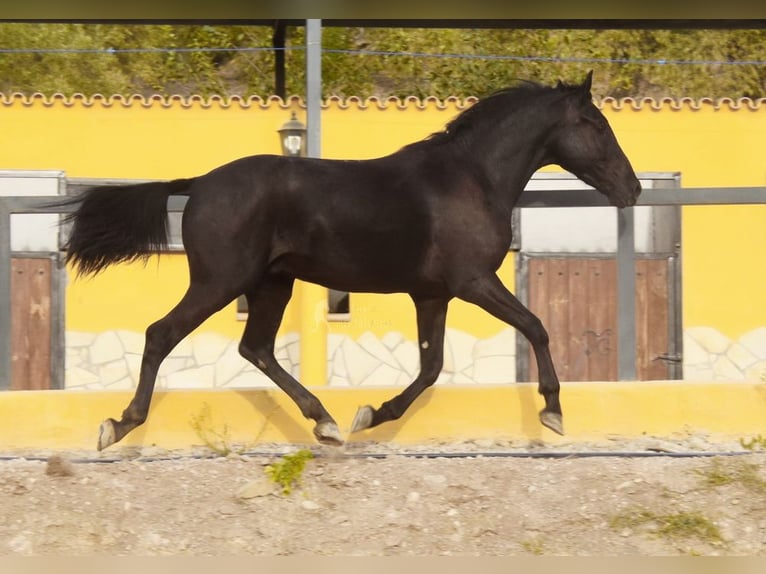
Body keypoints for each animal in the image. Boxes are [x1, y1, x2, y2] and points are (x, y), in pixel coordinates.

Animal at [64, 72, 640, 452]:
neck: (471, 178)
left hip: (272, 284)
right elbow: (536, 326)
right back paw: (118, 425)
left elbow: (431, 367)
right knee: (162, 334)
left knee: (257, 348)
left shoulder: (432, 293)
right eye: (596, 123)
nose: (632, 189)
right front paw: (553, 411)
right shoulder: (474, 280)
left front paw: (371, 414)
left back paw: (325, 422)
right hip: (221, 281)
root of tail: (200, 183)